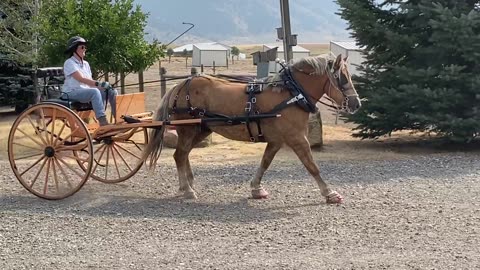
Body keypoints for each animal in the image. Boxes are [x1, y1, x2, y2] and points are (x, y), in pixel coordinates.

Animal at [142, 53, 360, 204]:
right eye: (343, 78)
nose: (356, 104)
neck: (291, 93)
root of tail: (179, 86)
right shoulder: (297, 138)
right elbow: (312, 166)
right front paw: (330, 193)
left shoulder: (276, 140)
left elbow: (265, 162)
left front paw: (256, 188)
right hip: (188, 129)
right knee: (180, 155)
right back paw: (187, 189)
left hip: (201, 130)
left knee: (183, 154)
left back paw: (187, 184)